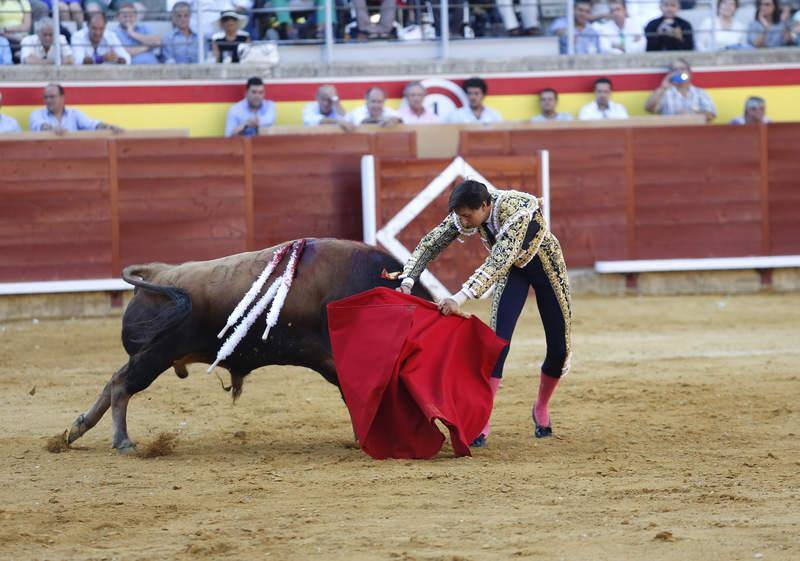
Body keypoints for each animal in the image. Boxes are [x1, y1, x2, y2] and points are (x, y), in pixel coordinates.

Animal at [64, 238, 432, 452]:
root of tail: (158, 273)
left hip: (151, 355)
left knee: (114, 381)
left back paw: (75, 431)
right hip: (156, 355)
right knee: (123, 386)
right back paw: (121, 441)